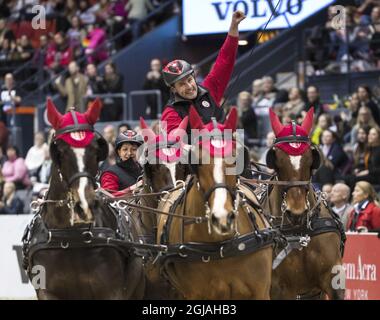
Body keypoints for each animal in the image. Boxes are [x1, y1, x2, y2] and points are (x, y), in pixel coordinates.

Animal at [262, 108, 346, 300]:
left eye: (310, 158)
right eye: (276, 158)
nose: (297, 213)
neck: (300, 232)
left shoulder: (332, 282)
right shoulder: (281, 290)